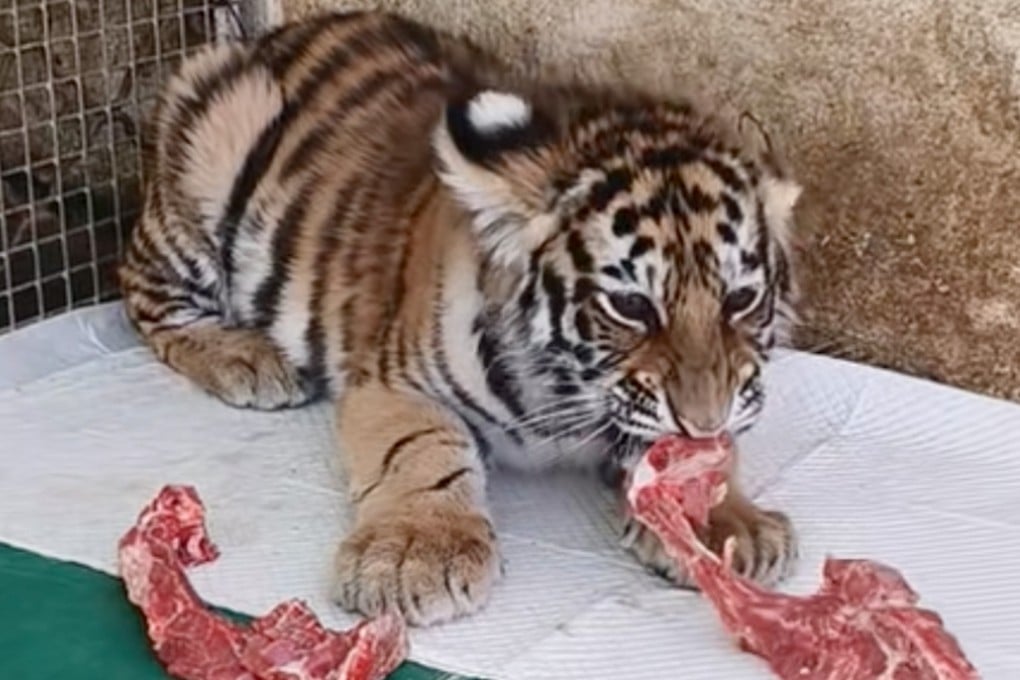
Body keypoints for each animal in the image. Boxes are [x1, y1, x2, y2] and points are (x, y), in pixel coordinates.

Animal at [118, 9, 803, 627]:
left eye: (740, 300)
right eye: (631, 305)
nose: (703, 419)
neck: (569, 389)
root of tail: (273, 34)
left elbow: (700, 458)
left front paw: (727, 524)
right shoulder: (396, 382)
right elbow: (422, 449)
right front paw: (414, 556)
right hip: (208, 155)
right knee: (143, 295)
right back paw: (249, 359)